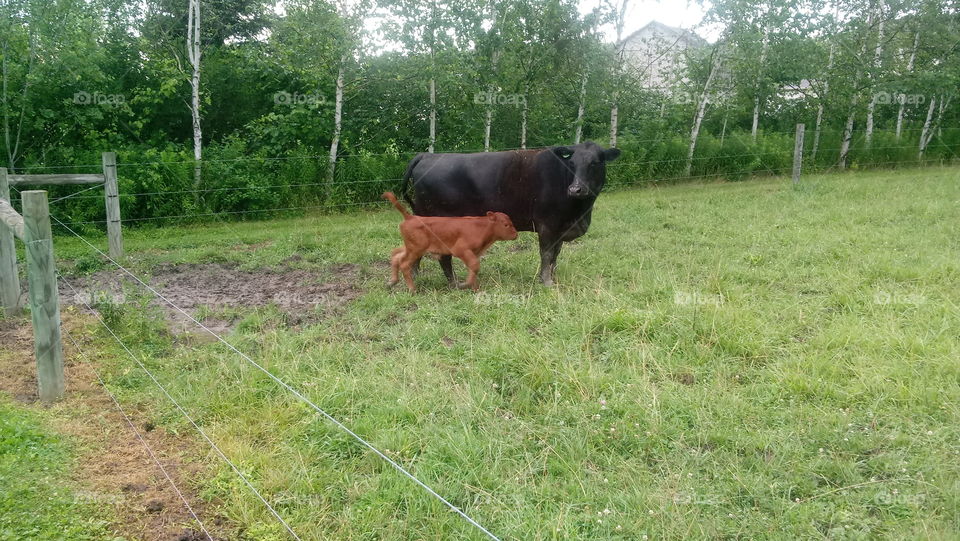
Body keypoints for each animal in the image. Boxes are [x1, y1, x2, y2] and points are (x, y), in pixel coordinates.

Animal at [402, 141, 620, 286]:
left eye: (595, 162)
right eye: (572, 163)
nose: (575, 189)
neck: (580, 213)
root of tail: (427, 155)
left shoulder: (560, 228)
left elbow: (555, 256)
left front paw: (553, 277)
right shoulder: (548, 225)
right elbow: (547, 254)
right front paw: (546, 281)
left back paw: (416, 274)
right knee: (443, 255)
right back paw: (456, 283)